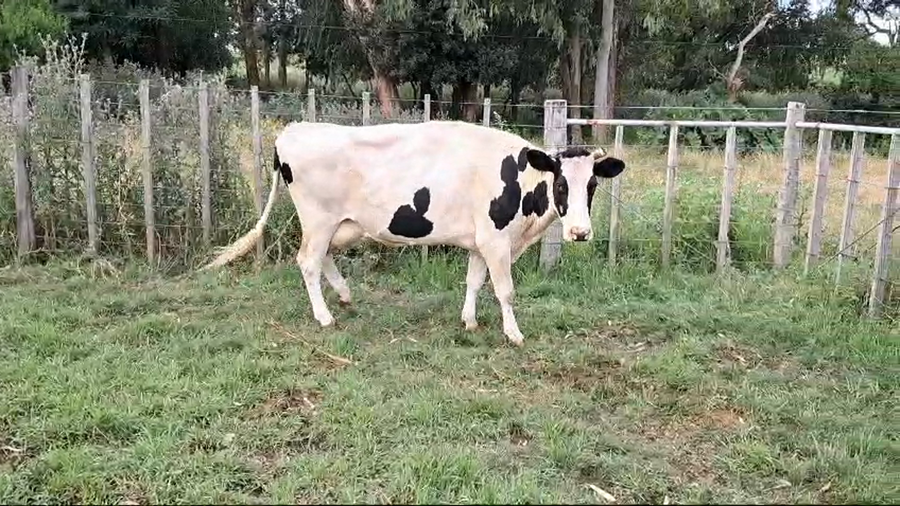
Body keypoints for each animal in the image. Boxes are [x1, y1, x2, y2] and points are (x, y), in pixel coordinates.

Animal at [201, 120, 626, 346]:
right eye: (560, 184)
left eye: (592, 185)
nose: (580, 232)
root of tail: (293, 129)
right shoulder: (496, 241)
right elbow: (505, 290)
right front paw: (514, 333)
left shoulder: (480, 242)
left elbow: (473, 282)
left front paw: (469, 321)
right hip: (318, 219)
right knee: (306, 261)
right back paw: (324, 317)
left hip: (338, 226)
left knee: (321, 258)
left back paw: (345, 294)